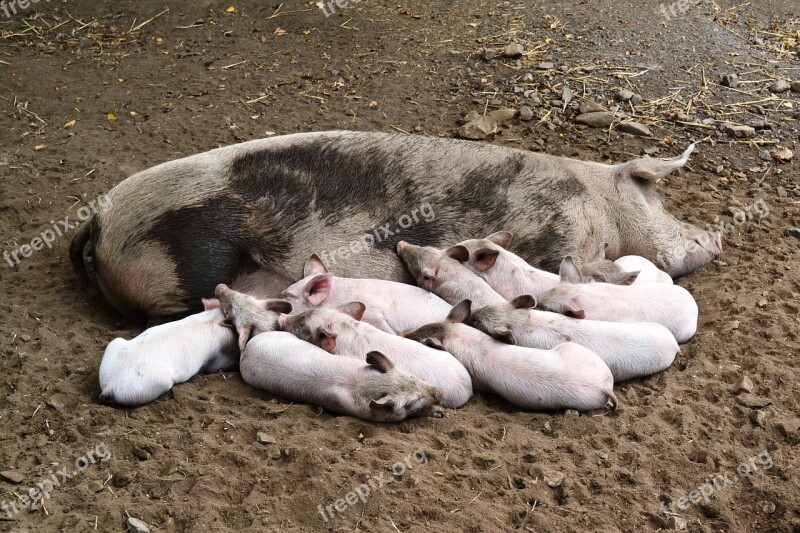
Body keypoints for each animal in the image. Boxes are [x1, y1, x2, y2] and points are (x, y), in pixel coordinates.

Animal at [72, 129, 720, 320]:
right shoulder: (556, 231)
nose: (715, 236)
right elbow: (577, 269)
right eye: (657, 195)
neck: (597, 201)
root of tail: (100, 219)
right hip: (185, 254)